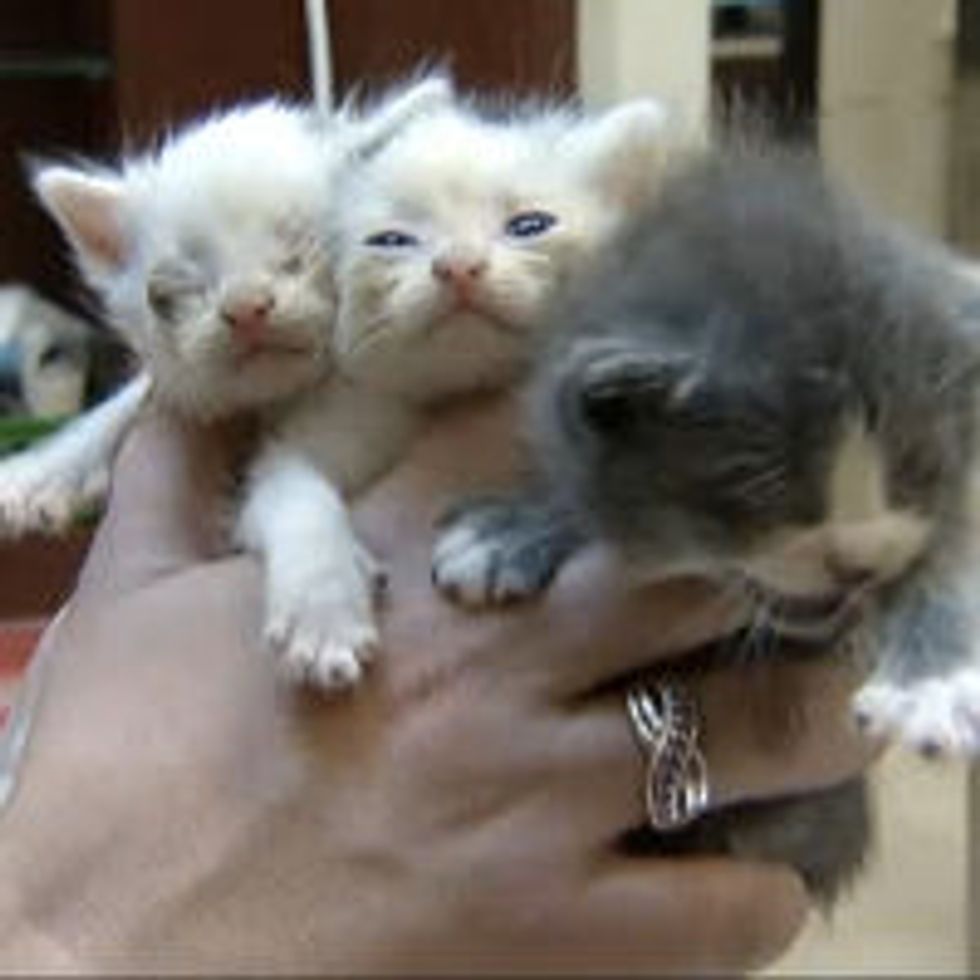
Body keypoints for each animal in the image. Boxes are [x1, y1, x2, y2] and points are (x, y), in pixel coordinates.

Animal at [430, 147, 980, 904]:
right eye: (760, 489)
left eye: (922, 468)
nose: (858, 564)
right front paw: (513, 526)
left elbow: (942, 554)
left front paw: (934, 678)